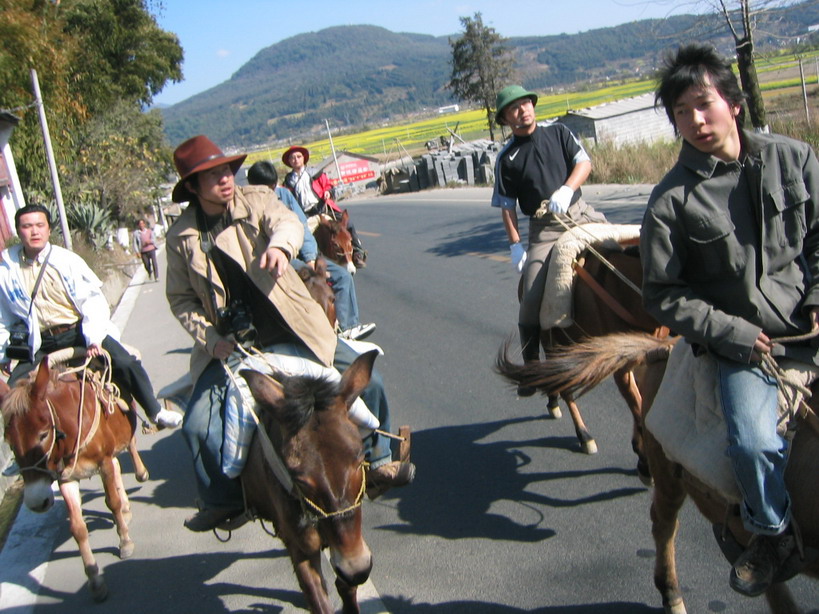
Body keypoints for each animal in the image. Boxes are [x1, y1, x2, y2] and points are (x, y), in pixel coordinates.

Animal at [1, 354, 148, 604]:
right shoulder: (65, 478)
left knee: (130, 445)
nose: (36, 502)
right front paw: (95, 580)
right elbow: (78, 528)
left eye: (43, 435)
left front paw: (125, 542)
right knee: (118, 466)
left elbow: (112, 502)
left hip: (126, 427)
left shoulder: (103, 463)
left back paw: (140, 472)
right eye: (10, 443)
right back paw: (127, 509)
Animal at [237, 352, 378, 614]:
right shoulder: (300, 546)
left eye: (360, 458)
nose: (357, 568)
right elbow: (318, 597)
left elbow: (346, 587)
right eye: (299, 479)